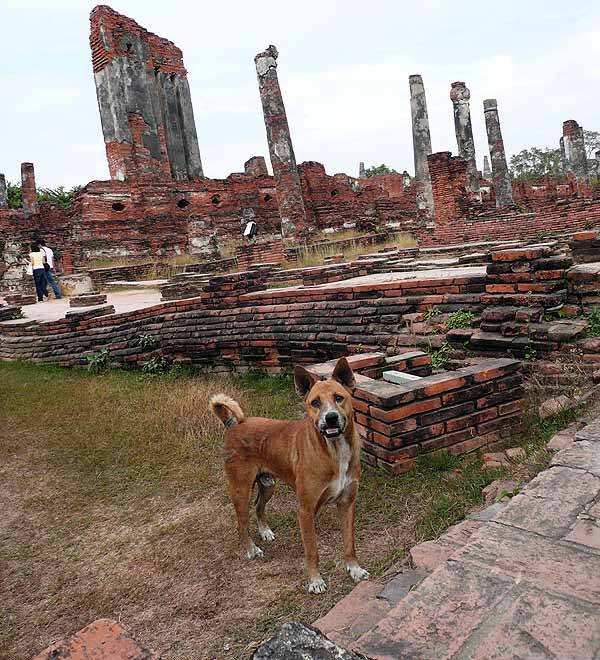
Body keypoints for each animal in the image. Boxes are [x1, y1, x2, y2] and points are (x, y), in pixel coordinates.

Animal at [209, 357, 369, 594]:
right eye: (315, 402)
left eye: (339, 398)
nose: (331, 418)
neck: (334, 451)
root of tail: (233, 424)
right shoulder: (305, 511)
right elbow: (312, 551)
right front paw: (315, 580)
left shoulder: (347, 503)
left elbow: (350, 543)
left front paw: (355, 569)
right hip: (240, 489)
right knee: (241, 522)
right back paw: (251, 549)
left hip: (268, 484)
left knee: (259, 507)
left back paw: (265, 532)